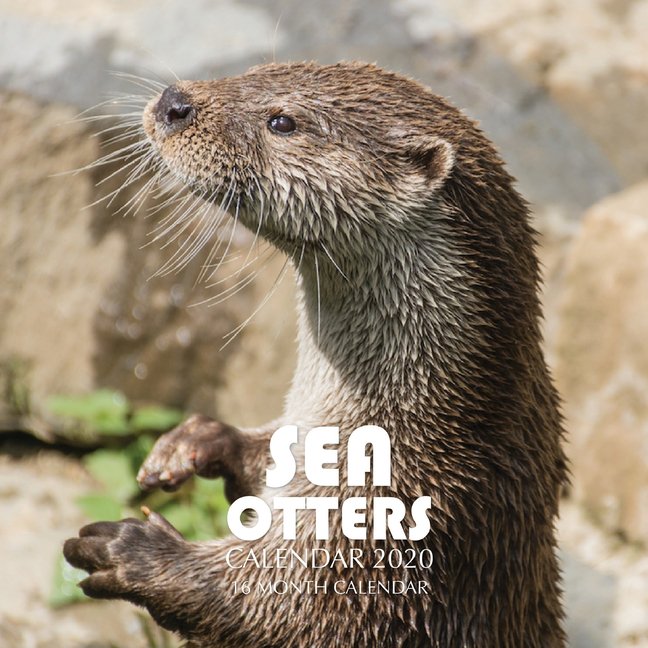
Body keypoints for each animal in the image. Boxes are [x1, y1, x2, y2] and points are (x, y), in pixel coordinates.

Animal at [64, 62, 567, 647]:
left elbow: (285, 606)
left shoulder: (392, 526)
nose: (174, 102)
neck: (422, 422)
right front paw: (194, 441)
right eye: (252, 71)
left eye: (282, 121)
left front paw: (134, 552)